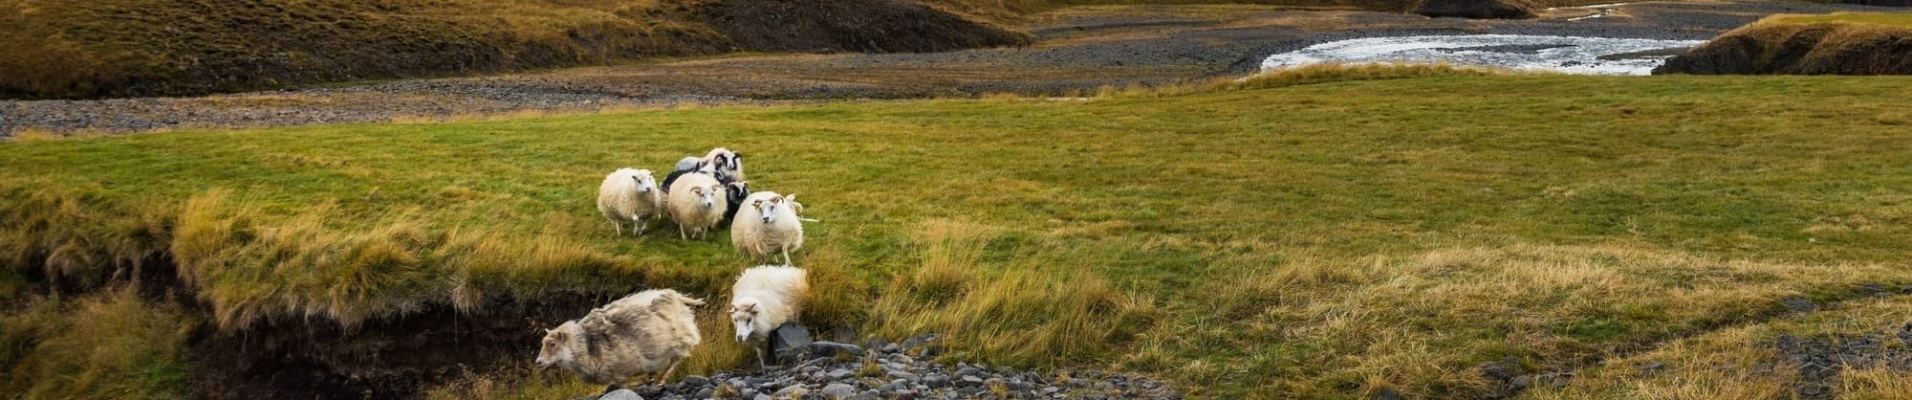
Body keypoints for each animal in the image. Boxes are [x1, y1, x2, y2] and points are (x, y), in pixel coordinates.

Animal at [535, 288, 707, 388]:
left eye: (553, 344)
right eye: (543, 343)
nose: (538, 362)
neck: (586, 346)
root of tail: (674, 295)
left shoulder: (623, 371)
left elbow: (623, 385)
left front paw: (643, 381)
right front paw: (647, 379)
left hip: (680, 338)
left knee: (678, 358)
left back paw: (662, 380)